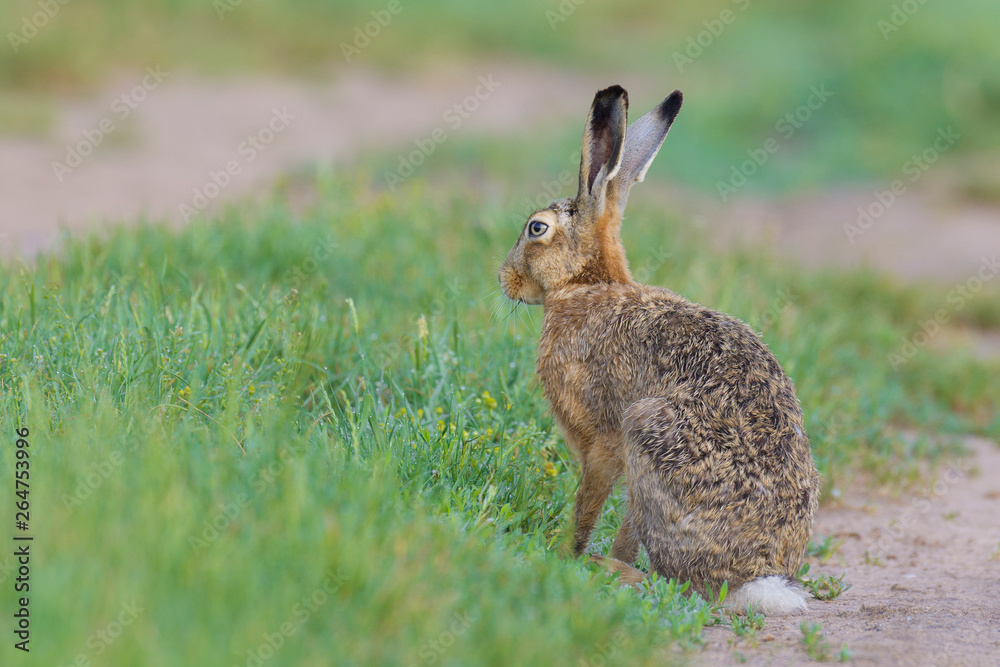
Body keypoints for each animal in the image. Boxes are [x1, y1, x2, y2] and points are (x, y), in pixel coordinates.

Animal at [498, 85, 819, 616]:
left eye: (536, 229)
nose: (504, 279)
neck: (587, 284)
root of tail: (752, 581)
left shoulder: (606, 441)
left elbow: (588, 502)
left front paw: (565, 555)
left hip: (647, 429)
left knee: (678, 585)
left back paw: (609, 570)